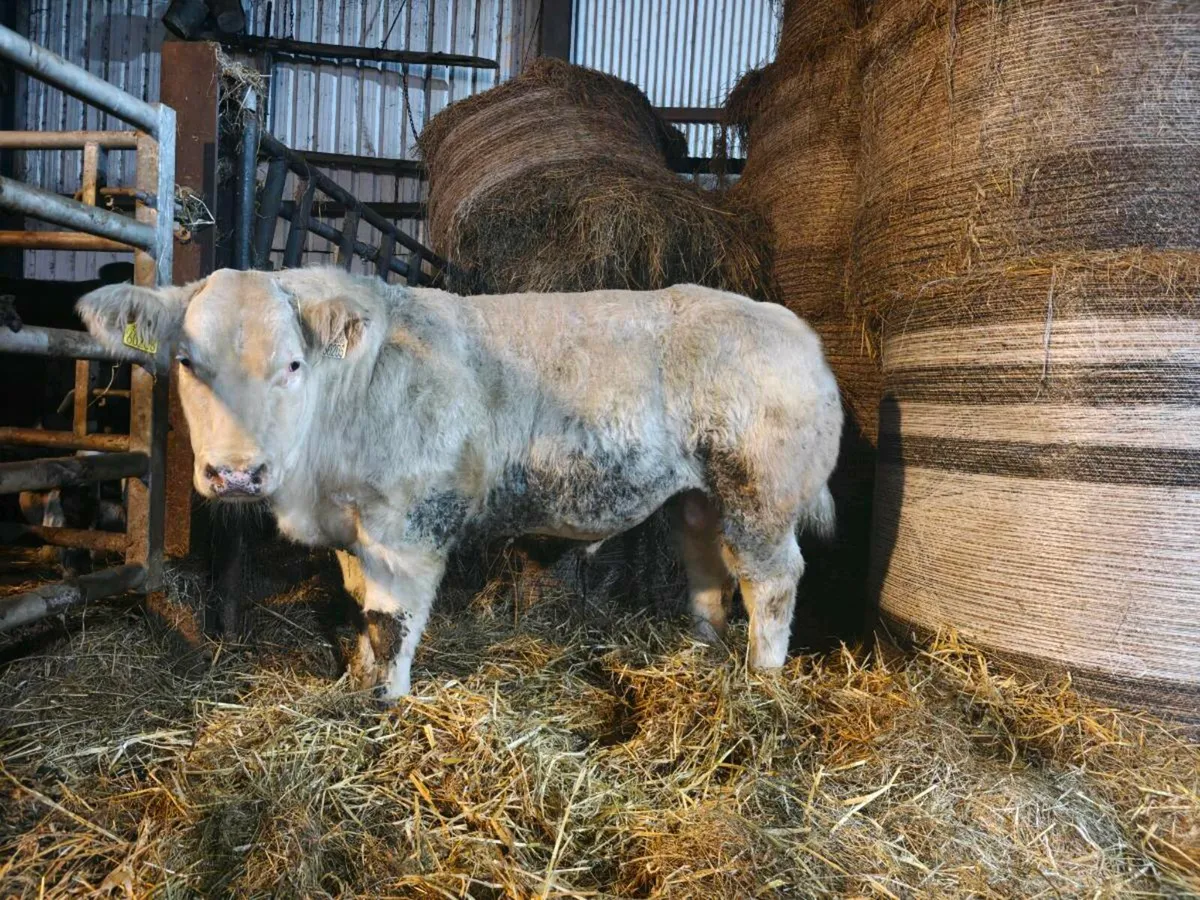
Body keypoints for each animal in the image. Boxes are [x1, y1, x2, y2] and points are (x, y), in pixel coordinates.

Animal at [75, 267, 843, 700]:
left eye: (292, 364)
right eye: (187, 362)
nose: (236, 472)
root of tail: (796, 332)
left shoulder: (407, 528)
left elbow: (390, 621)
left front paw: (385, 701)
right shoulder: (353, 527)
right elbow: (358, 605)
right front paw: (355, 681)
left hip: (761, 493)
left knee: (772, 580)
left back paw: (762, 679)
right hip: (701, 496)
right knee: (710, 567)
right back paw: (705, 649)